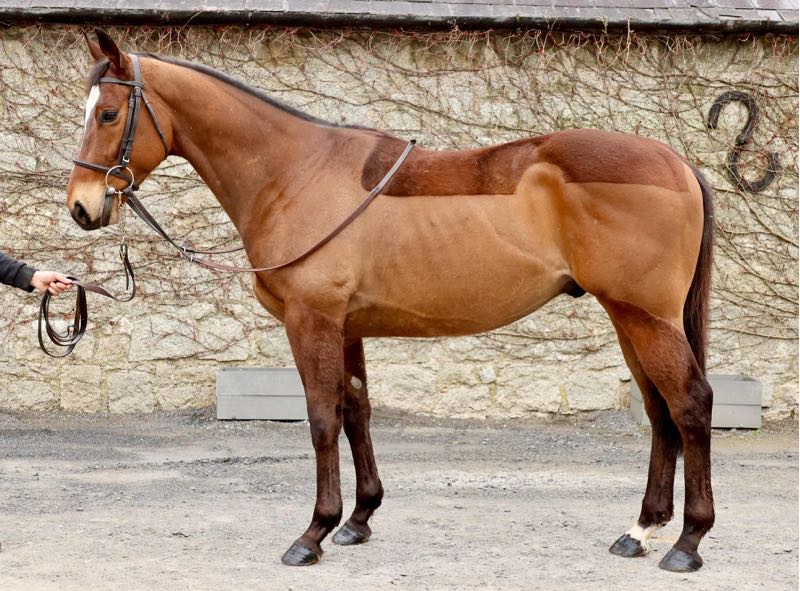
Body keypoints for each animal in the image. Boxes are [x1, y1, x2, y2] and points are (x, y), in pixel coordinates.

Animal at [66, 29, 715, 572]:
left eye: (108, 113)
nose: (82, 207)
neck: (293, 173)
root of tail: (678, 161)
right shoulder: (347, 327)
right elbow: (357, 411)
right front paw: (358, 519)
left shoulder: (312, 322)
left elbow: (322, 419)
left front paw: (313, 534)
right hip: (629, 319)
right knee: (659, 411)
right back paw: (640, 530)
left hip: (646, 318)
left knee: (690, 404)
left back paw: (687, 543)